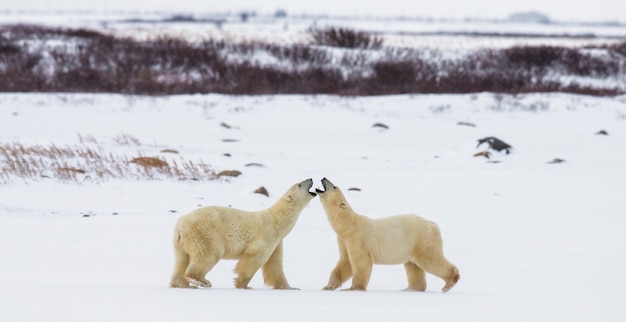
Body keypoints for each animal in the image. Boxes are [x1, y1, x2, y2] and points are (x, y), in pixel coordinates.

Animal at [169, 179, 316, 290]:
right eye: (299, 184)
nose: (310, 179)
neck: (277, 220)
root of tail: (180, 226)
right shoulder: (266, 235)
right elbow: (253, 259)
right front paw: (244, 285)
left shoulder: (277, 242)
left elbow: (275, 264)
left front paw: (290, 287)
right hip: (204, 234)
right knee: (209, 254)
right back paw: (200, 281)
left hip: (182, 242)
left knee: (181, 260)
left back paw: (182, 284)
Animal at [316, 177, 458, 294]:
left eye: (334, 186)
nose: (323, 178)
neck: (348, 224)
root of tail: (433, 224)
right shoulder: (343, 240)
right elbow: (345, 262)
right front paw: (328, 286)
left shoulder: (357, 238)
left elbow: (361, 262)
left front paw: (352, 289)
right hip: (411, 247)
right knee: (413, 267)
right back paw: (409, 289)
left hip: (421, 239)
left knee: (430, 259)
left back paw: (449, 283)